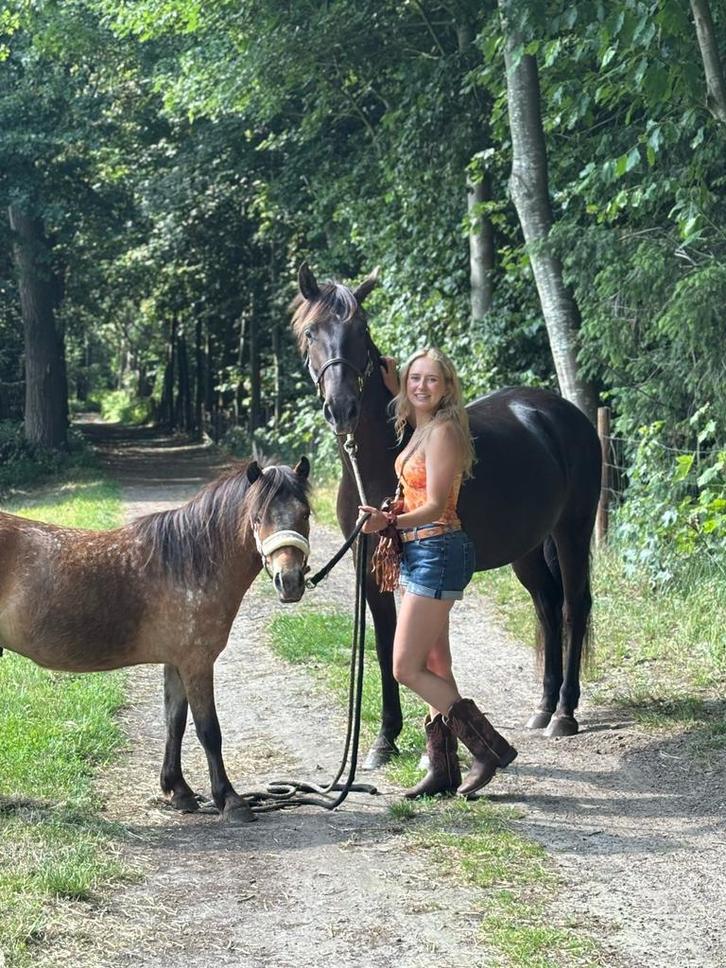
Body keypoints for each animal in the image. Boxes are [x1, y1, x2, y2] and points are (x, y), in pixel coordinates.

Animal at [0, 458, 312, 822]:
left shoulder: (176, 663)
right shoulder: (197, 663)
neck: (189, 564)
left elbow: (174, 722)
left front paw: (180, 791)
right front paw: (231, 801)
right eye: (258, 517)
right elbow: (209, 731)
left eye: (305, 513)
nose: (289, 582)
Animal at [291, 263, 601, 768]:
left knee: (575, 605)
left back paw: (564, 714)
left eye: (361, 330)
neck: (380, 458)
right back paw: (543, 705)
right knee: (548, 606)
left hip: (571, 532)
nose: (342, 408)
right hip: (528, 547)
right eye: (310, 332)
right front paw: (385, 739)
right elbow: (385, 641)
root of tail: (561, 412)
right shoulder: (366, 559)